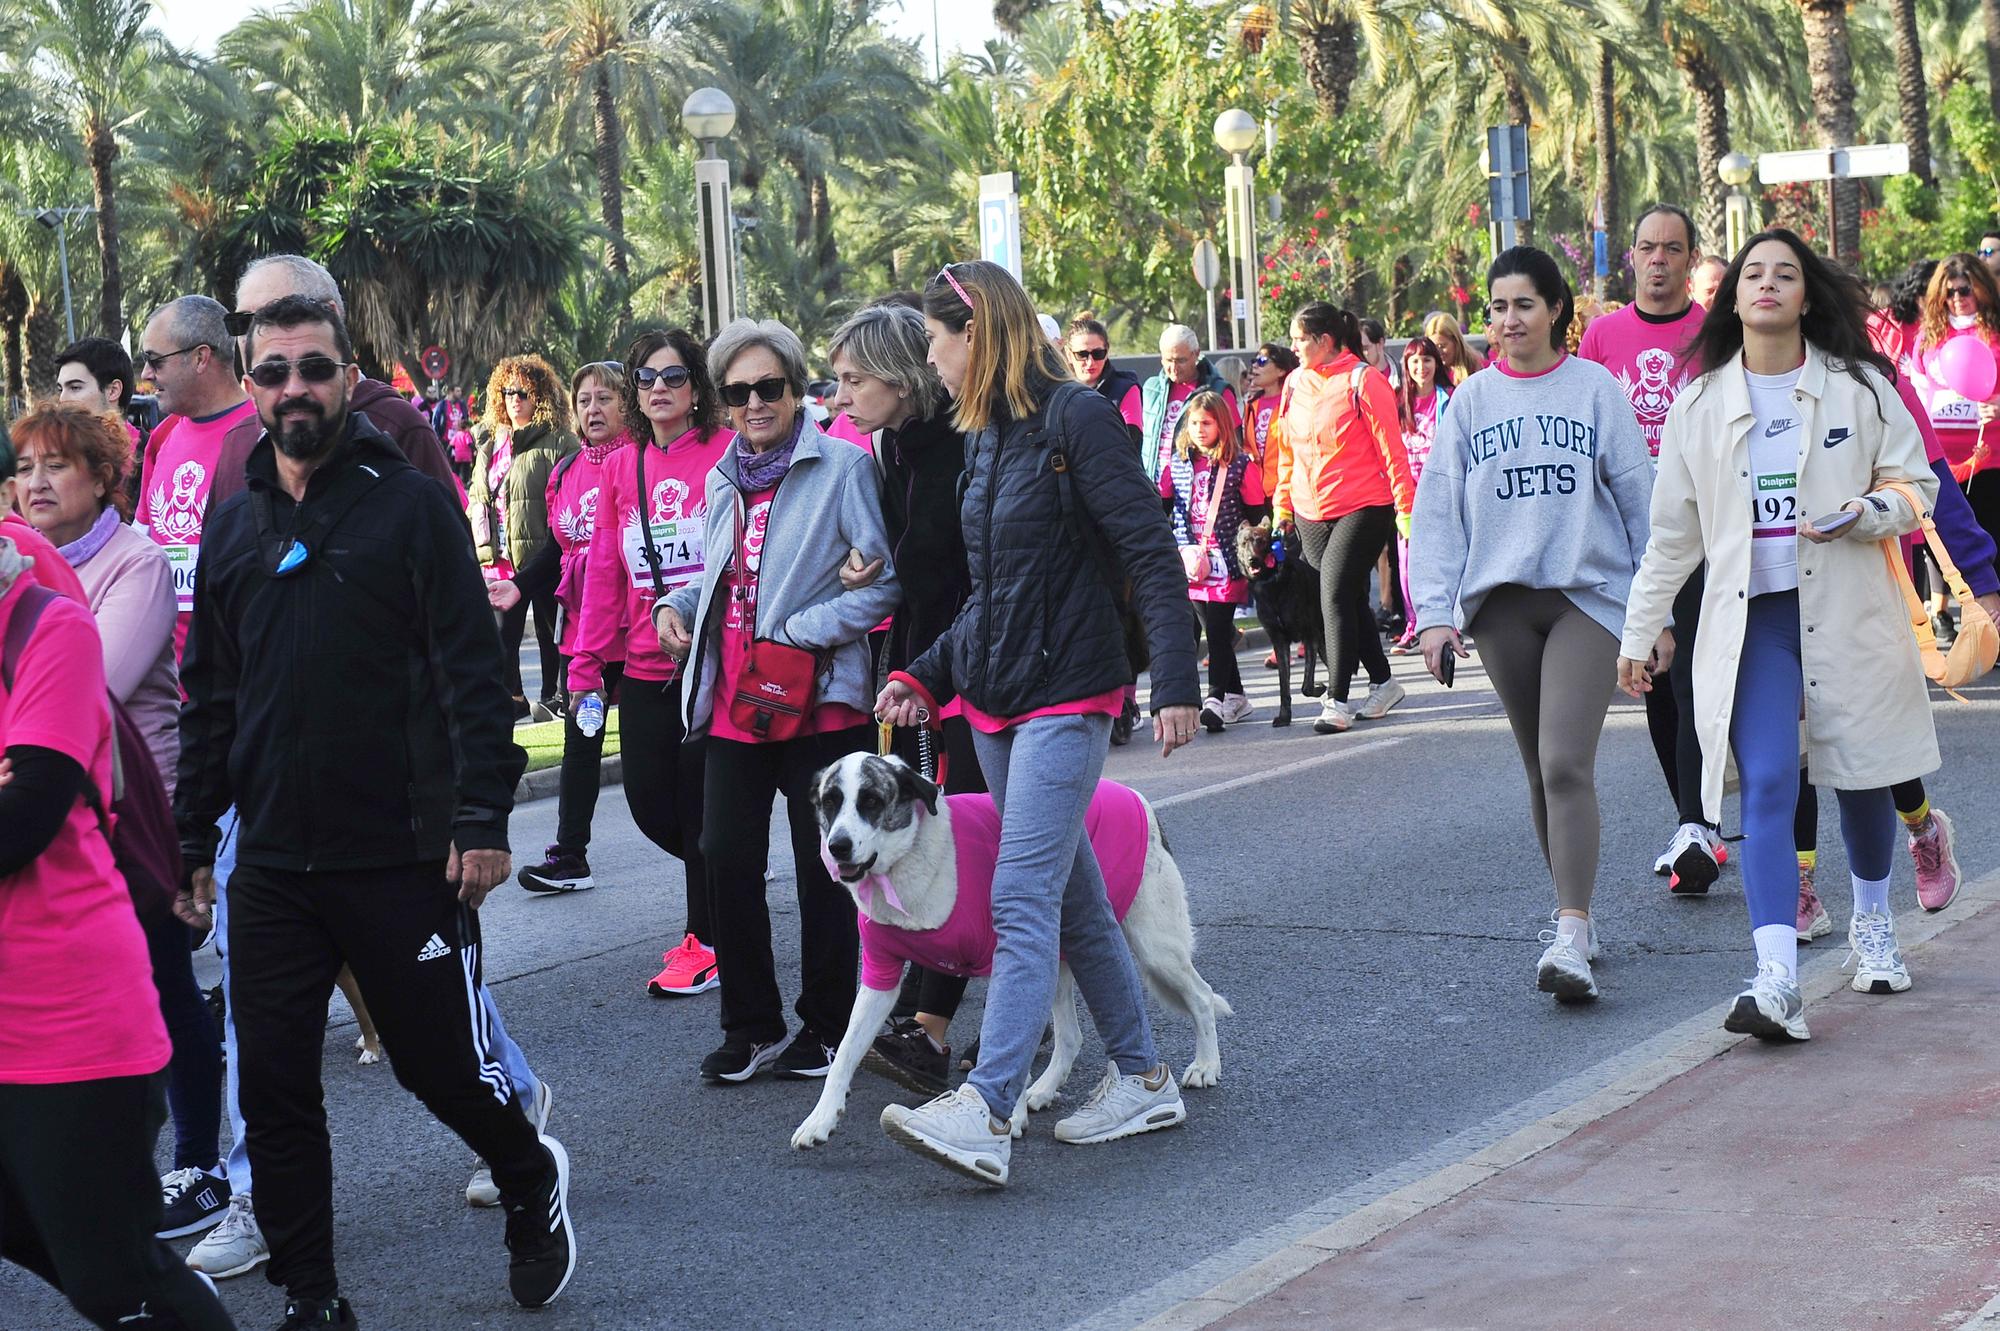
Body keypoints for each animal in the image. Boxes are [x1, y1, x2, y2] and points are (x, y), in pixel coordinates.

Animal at [788, 751, 1224, 1143]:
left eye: (872, 801)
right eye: (831, 802)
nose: (838, 846)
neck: (906, 859)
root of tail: (1136, 796)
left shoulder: (1007, 959)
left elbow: (1010, 1040)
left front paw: (1006, 1118)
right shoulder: (880, 976)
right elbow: (846, 1051)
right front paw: (820, 1120)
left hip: (1155, 945)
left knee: (1201, 996)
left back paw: (1205, 1065)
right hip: (1059, 951)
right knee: (1070, 1036)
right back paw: (1043, 1091)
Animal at [1232, 519, 1328, 727]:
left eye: (1260, 541)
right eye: (1244, 543)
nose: (1252, 559)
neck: (1270, 581)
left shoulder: (1309, 636)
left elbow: (1306, 686)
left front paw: (1318, 687)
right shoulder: (1279, 641)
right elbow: (1284, 686)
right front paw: (1285, 716)